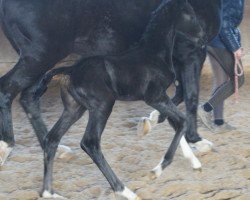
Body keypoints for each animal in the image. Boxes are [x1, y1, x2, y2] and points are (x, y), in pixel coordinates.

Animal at [34, 0, 203, 199]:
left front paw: (194, 163)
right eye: (190, 14)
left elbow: (175, 122)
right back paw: (125, 191)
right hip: (103, 106)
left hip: (74, 109)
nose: (201, 36)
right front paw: (157, 170)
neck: (154, 54)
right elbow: (181, 121)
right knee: (90, 143)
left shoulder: (162, 98)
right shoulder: (155, 96)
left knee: (52, 139)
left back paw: (48, 193)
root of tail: (70, 71)